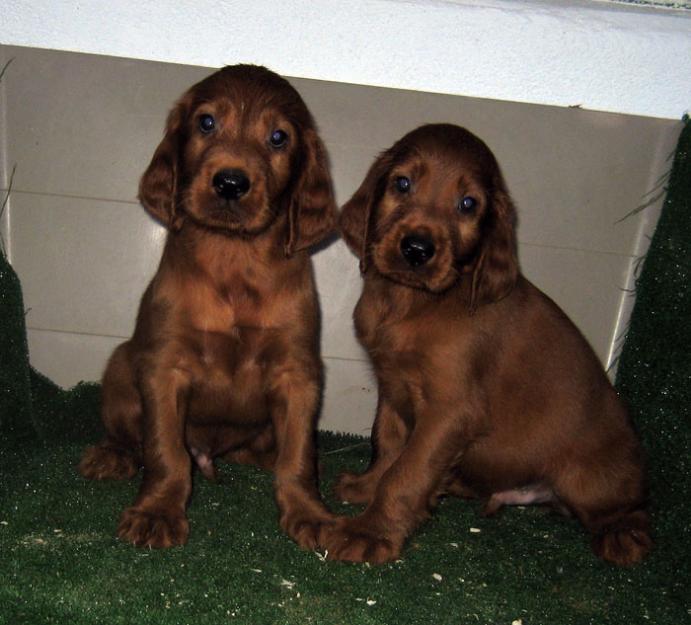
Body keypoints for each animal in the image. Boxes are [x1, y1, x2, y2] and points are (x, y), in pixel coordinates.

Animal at [79, 66, 338, 548]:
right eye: (206, 122)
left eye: (278, 137)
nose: (231, 182)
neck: (234, 256)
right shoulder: (164, 367)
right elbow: (165, 450)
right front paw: (157, 511)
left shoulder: (298, 373)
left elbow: (297, 455)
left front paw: (309, 512)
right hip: (122, 366)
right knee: (134, 439)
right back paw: (112, 455)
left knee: (272, 452)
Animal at [328, 122, 652, 564]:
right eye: (402, 183)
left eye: (467, 204)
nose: (416, 249)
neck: (413, 302)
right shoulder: (392, 387)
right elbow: (388, 445)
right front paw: (365, 487)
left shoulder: (450, 411)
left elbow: (407, 471)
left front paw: (371, 532)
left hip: (592, 480)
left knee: (631, 508)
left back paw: (623, 537)